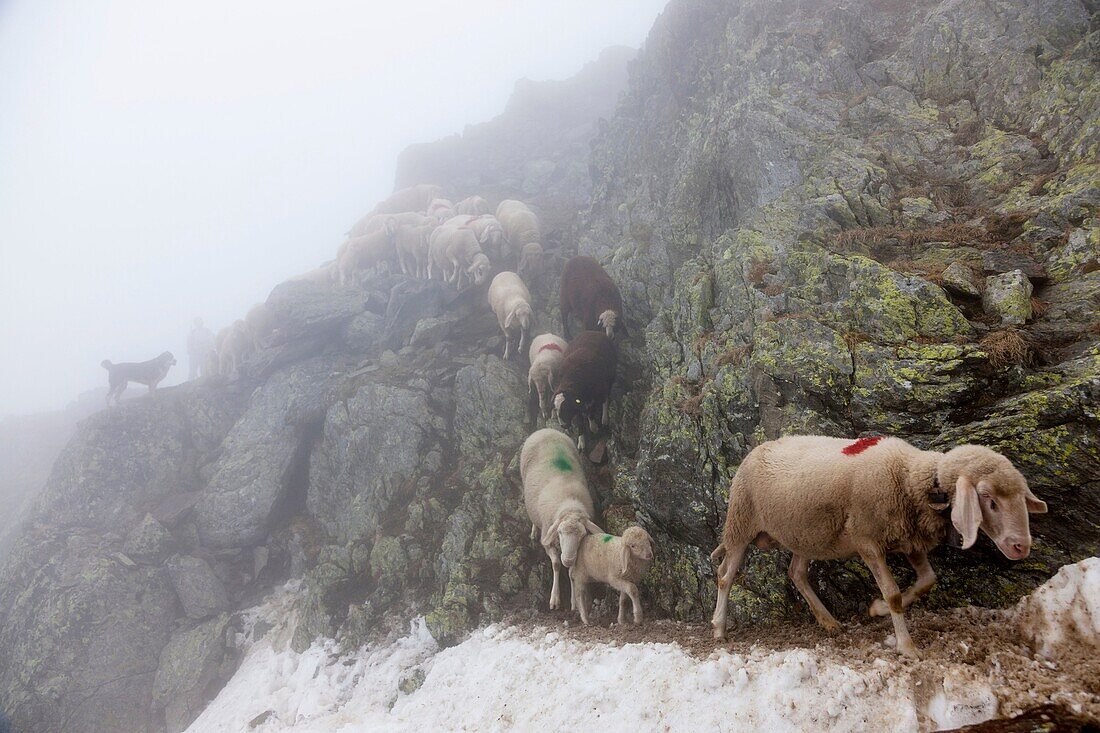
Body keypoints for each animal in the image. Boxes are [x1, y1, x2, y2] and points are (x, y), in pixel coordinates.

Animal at [521, 424, 607, 607]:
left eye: (582, 535)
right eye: (560, 532)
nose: (567, 559)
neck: (569, 505)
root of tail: (546, 429)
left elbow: (572, 570)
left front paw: (575, 601)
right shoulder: (548, 538)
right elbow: (555, 564)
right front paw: (555, 598)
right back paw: (534, 531)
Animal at [708, 431, 1051, 651]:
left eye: (1020, 497)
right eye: (987, 499)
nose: (1021, 546)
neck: (912, 477)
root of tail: (758, 448)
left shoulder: (909, 538)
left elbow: (927, 580)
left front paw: (877, 610)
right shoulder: (867, 540)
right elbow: (894, 592)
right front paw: (906, 645)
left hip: (808, 532)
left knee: (797, 573)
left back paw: (828, 621)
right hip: (741, 520)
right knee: (725, 575)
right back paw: (719, 628)